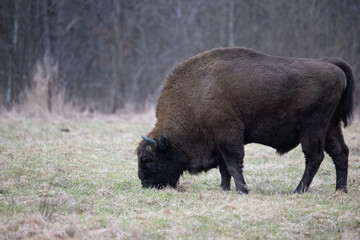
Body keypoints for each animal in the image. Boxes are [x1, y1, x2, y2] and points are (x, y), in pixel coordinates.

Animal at [136, 47, 352, 194]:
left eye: (148, 160)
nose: (145, 185)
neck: (195, 96)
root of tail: (332, 65)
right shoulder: (218, 142)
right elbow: (224, 168)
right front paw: (224, 189)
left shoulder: (229, 134)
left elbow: (233, 163)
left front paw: (242, 190)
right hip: (331, 127)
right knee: (340, 153)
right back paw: (340, 190)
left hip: (312, 128)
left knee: (314, 157)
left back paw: (298, 190)